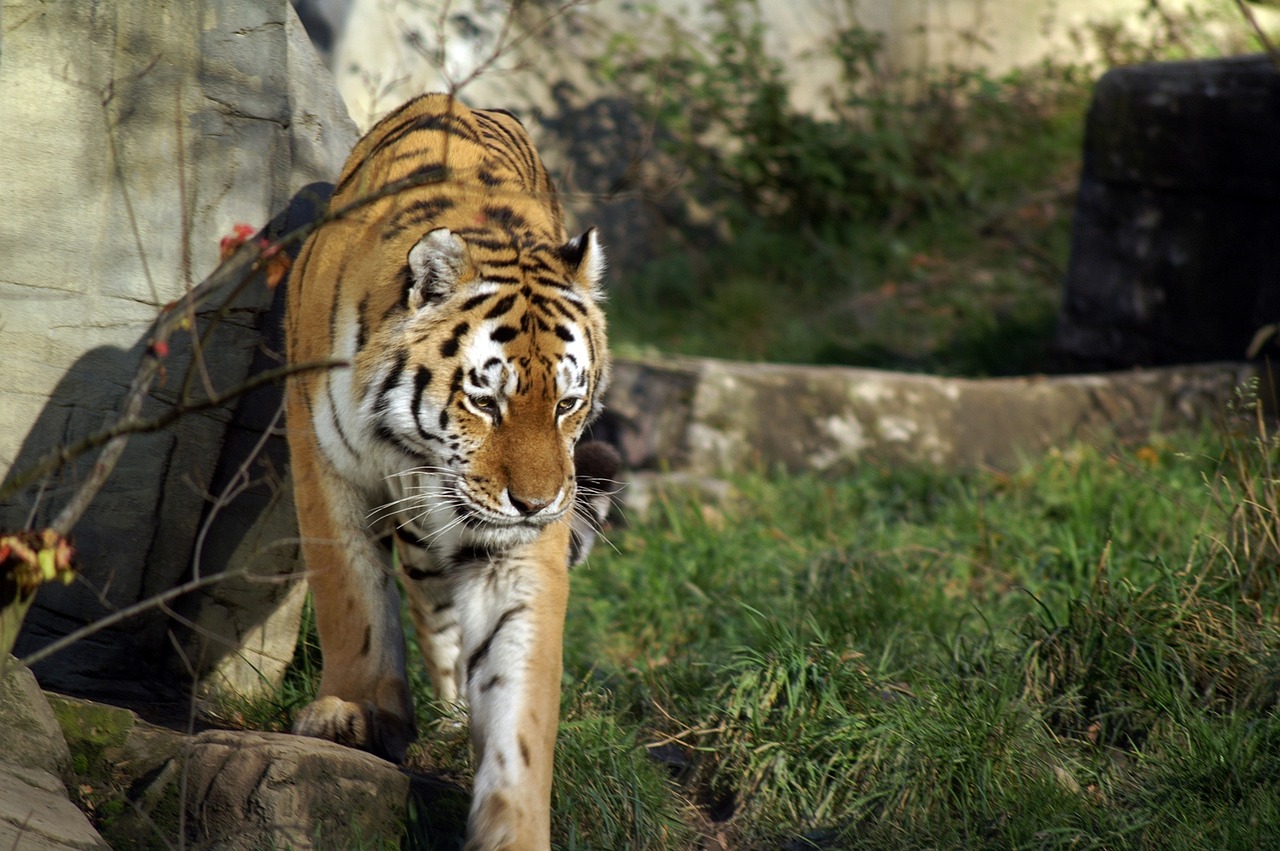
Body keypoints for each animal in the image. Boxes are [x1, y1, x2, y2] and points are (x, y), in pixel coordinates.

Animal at [286, 92, 614, 849]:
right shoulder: (322, 462)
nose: (536, 502)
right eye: (486, 401)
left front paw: (513, 824)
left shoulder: (520, 550)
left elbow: (520, 696)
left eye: (567, 403)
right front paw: (353, 713)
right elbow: (350, 594)